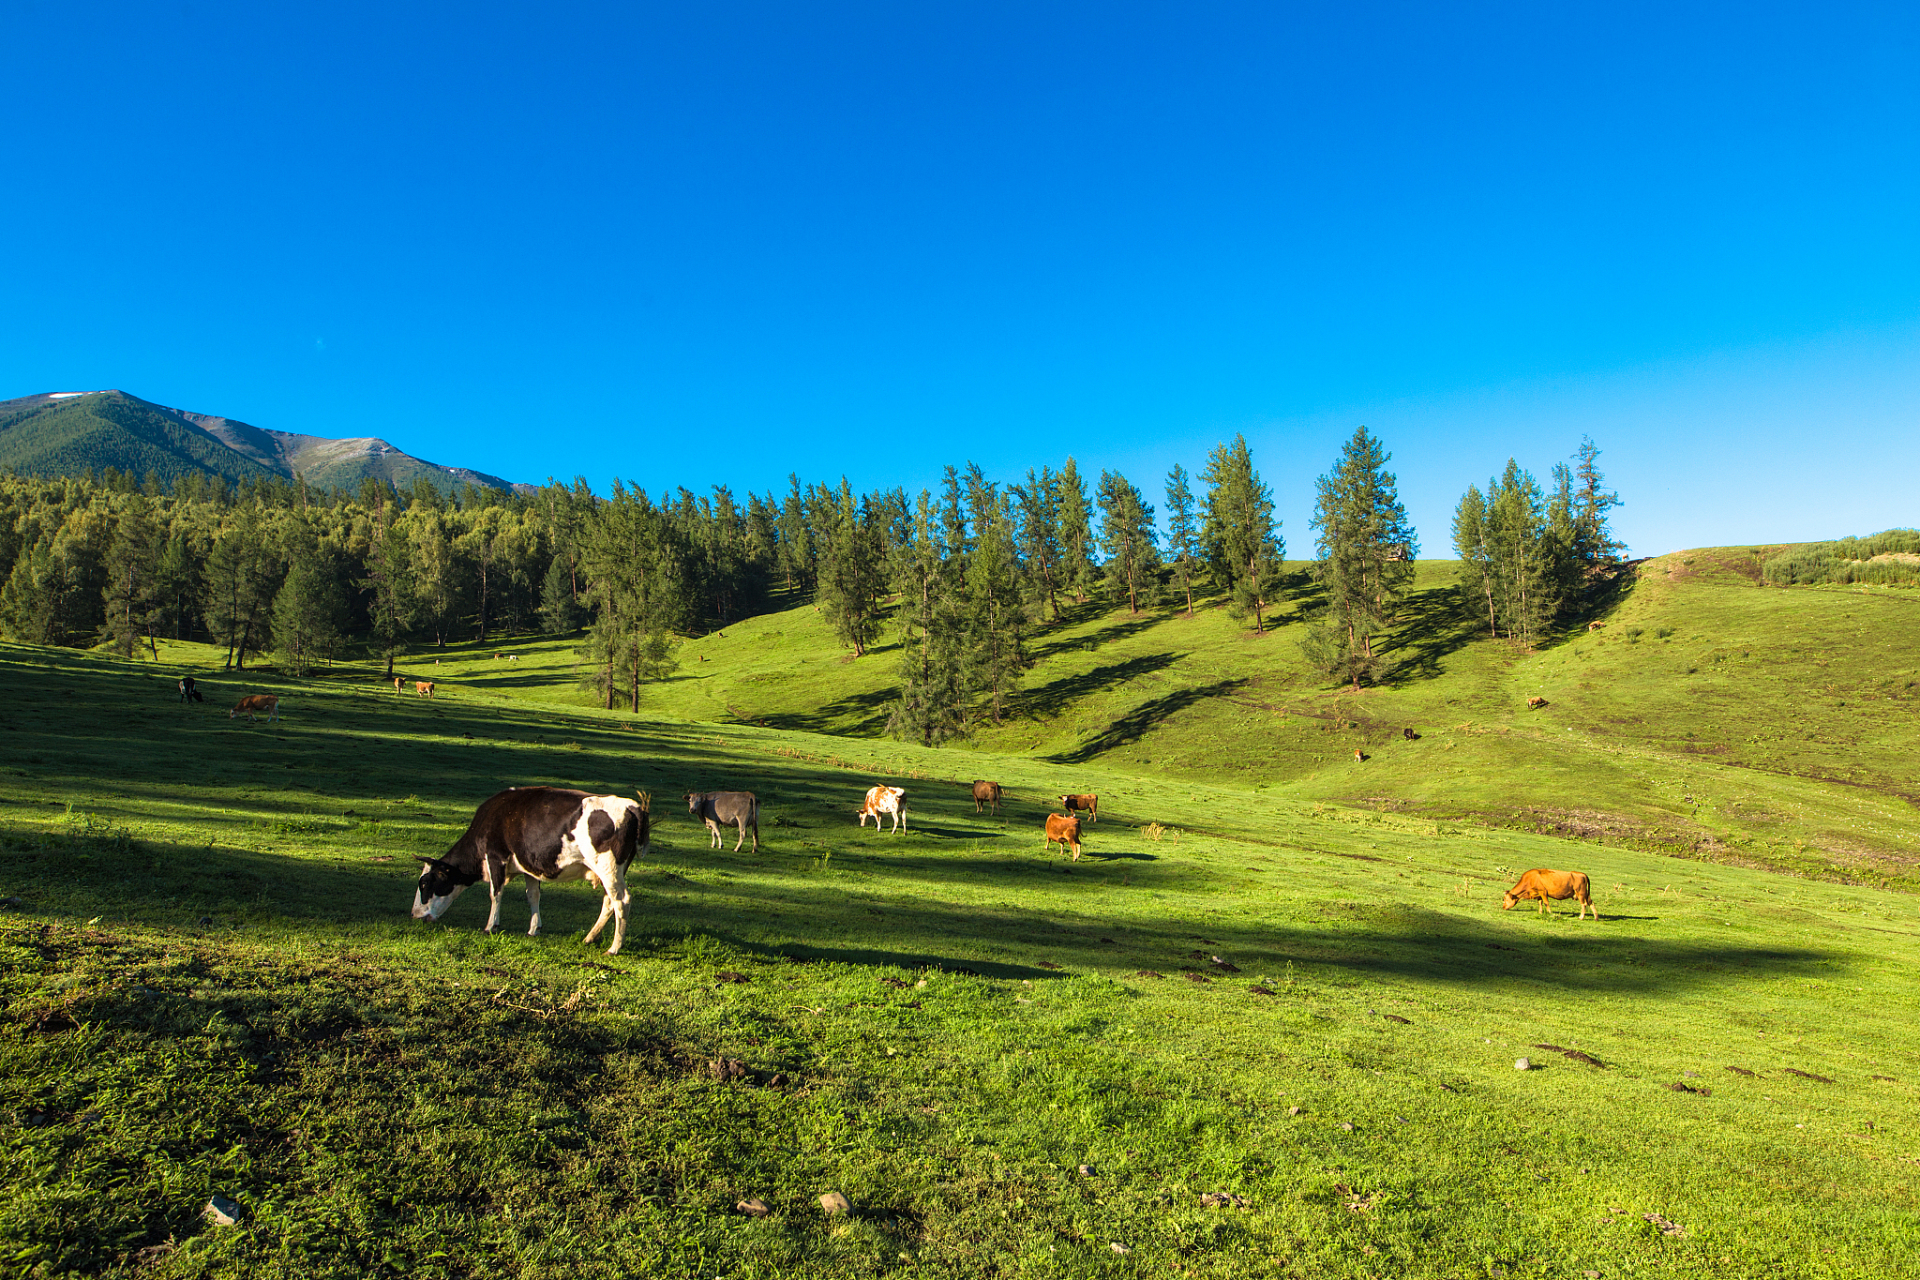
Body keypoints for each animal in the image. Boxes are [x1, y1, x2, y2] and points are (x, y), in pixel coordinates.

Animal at [408, 786, 648, 955]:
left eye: (425, 883)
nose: (414, 915)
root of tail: (632, 807)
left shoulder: (496, 857)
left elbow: (495, 893)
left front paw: (491, 926)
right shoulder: (527, 866)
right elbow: (532, 896)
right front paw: (533, 930)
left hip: (607, 866)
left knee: (621, 901)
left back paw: (614, 948)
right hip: (612, 870)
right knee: (609, 901)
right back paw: (590, 937)